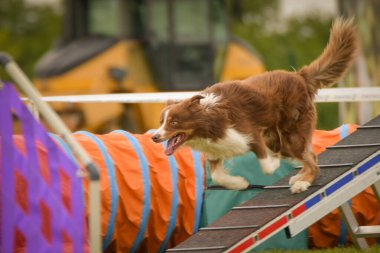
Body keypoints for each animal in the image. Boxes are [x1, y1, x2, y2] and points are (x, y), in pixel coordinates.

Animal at [151, 19, 356, 194]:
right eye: (161, 122)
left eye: (174, 122)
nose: (154, 137)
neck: (209, 121)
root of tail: (299, 76)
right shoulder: (216, 151)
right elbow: (217, 176)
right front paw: (239, 183)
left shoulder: (251, 135)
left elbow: (265, 166)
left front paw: (274, 164)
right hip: (275, 137)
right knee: (310, 156)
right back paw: (299, 177)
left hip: (290, 134)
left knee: (310, 159)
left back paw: (302, 183)